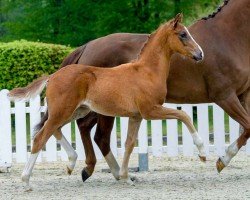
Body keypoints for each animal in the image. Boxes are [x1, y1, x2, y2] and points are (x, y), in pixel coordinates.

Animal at [9, 14, 205, 188]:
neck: (146, 71)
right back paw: (27, 181)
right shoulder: (151, 110)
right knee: (40, 137)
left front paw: (125, 177)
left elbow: (129, 144)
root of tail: (52, 76)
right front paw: (202, 153)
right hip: (63, 111)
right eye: (183, 34)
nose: (200, 54)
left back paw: (71, 164)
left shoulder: (136, 116)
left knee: (53, 130)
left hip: (75, 111)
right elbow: (184, 115)